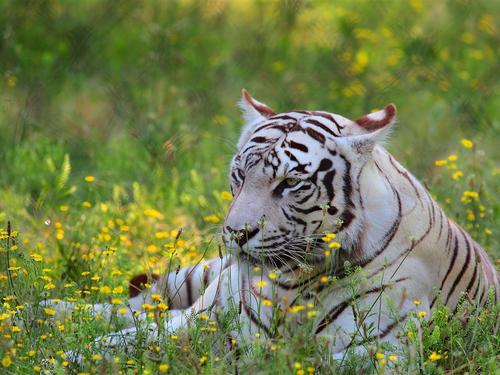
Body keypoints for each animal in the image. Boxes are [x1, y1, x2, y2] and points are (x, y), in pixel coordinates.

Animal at [47, 89, 496, 362]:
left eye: (290, 184)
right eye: (240, 175)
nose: (236, 233)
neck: (293, 284)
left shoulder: (385, 351)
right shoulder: (204, 322)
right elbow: (119, 341)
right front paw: (63, 358)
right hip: (200, 283)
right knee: (136, 309)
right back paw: (44, 312)